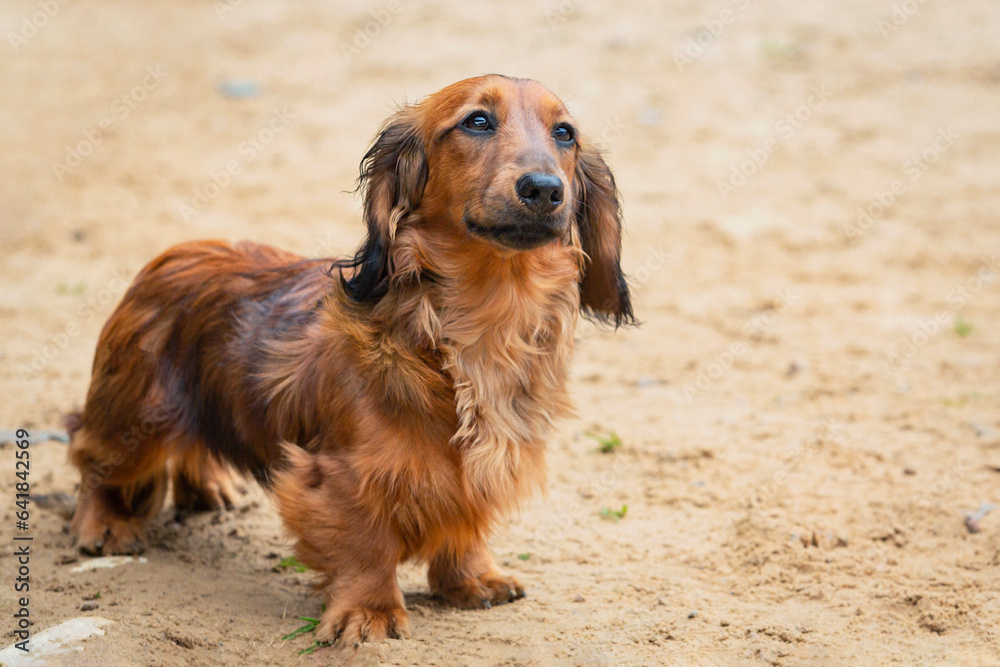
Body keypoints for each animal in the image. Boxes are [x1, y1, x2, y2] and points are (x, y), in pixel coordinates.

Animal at [66, 74, 632, 646]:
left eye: (565, 133)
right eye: (477, 121)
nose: (544, 188)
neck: (478, 323)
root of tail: (173, 253)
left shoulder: (476, 467)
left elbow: (465, 520)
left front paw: (472, 579)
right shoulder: (342, 474)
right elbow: (366, 543)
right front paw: (368, 612)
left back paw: (210, 485)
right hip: (138, 414)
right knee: (89, 452)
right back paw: (104, 523)